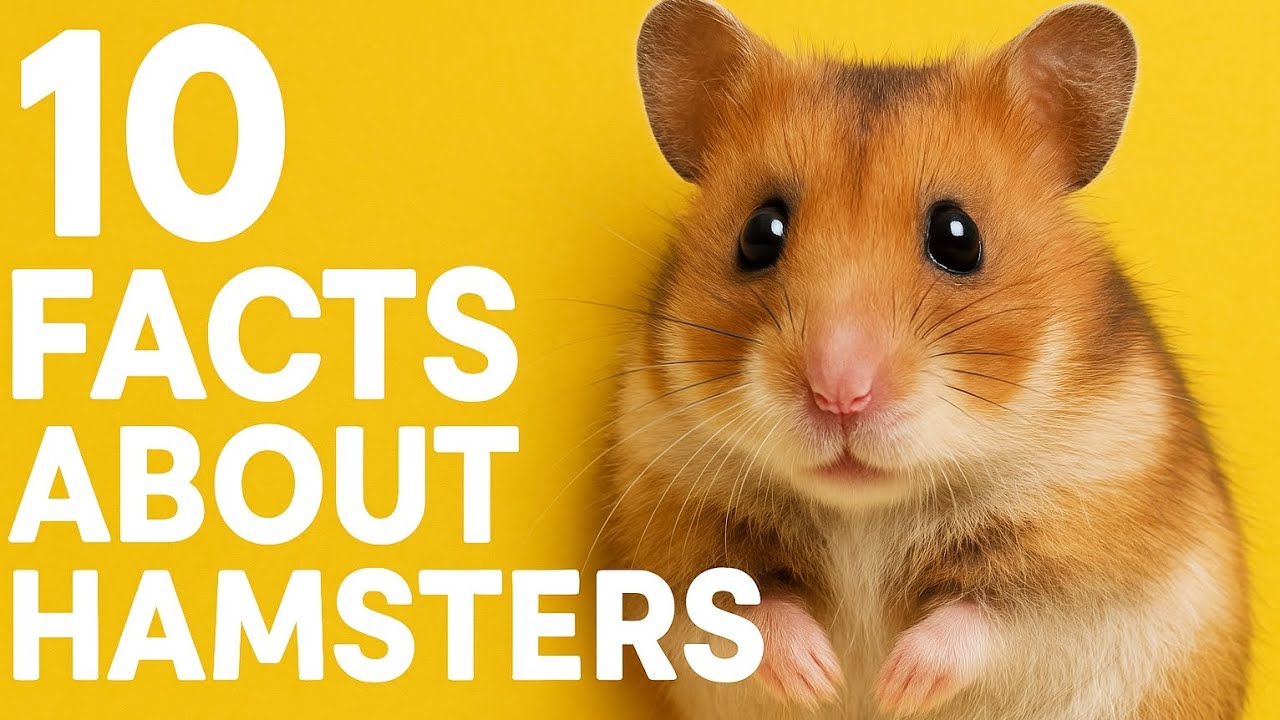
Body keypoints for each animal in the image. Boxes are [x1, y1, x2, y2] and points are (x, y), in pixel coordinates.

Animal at [600, 1, 1251, 719]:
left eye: (958, 236)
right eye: (758, 233)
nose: (840, 394)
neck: (866, 510)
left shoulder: (1086, 549)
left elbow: (982, 620)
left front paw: (893, 685)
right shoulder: (669, 525)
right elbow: (747, 607)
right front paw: (824, 677)